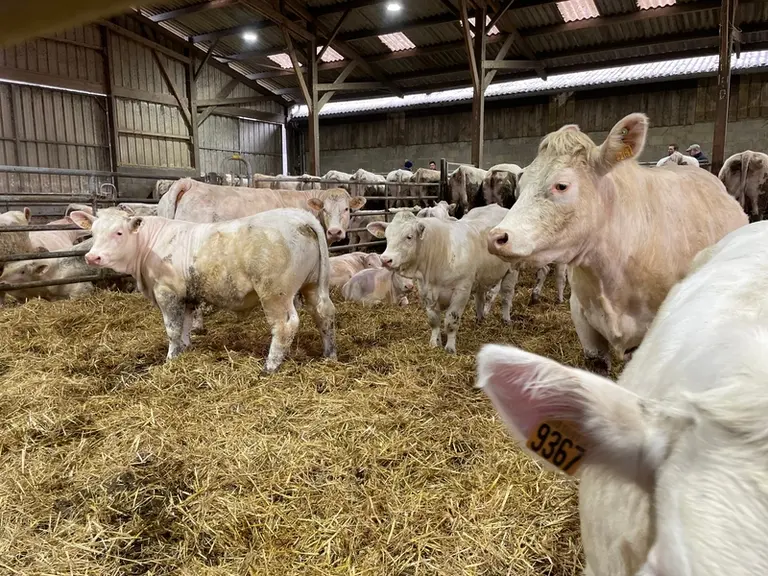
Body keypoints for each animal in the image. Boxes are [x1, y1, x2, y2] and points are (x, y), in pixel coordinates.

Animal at [69, 207, 337, 373]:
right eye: (93, 233)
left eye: (119, 232)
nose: (92, 257)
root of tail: (299, 216)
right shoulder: (187, 296)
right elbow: (186, 325)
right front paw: (185, 349)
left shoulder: (167, 292)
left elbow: (172, 329)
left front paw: (170, 358)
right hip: (314, 285)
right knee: (324, 314)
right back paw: (329, 354)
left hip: (275, 293)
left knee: (285, 326)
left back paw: (270, 367)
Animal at [367, 205, 519, 353]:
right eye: (387, 236)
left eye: (409, 237)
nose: (385, 259)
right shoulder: (426, 291)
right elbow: (434, 320)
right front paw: (435, 343)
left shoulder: (461, 291)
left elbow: (451, 321)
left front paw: (450, 348)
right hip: (481, 277)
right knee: (480, 297)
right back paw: (480, 318)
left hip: (512, 270)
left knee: (506, 296)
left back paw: (506, 319)